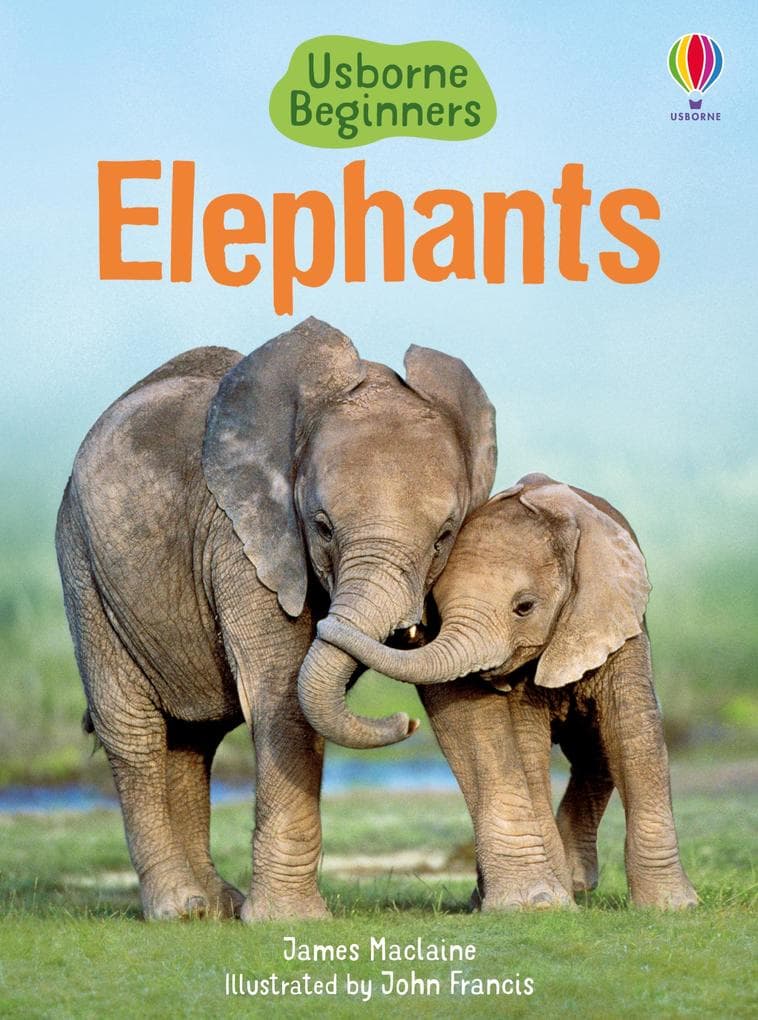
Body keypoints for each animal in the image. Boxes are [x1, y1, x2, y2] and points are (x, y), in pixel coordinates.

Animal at [55, 317, 497, 921]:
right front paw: (290, 920)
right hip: (82, 564)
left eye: (444, 536)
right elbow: (282, 692)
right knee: (133, 730)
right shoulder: (242, 542)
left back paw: (216, 906)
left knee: (192, 739)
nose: (405, 723)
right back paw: (182, 909)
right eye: (322, 526)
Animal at [319, 473, 698, 909]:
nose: (407, 722)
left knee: (595, 749)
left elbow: (632, 732)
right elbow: (527, 746)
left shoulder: (616, 623)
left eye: (525, 607)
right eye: (438, 608)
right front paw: (547, 903)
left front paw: (674, 906)